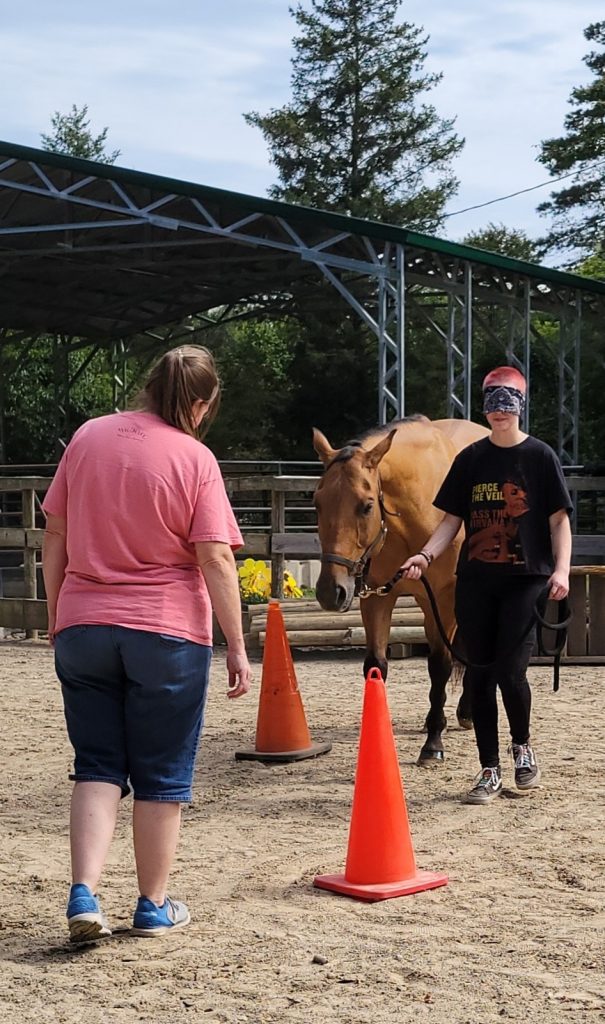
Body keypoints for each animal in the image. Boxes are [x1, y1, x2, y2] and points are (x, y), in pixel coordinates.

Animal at [312, 415, 489, 766]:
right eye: (317, 503)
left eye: (366, 506)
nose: (330, 591)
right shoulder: (378, 597)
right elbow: (376, 665)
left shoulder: (443, 599)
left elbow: (439, 666)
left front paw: (433, 742)